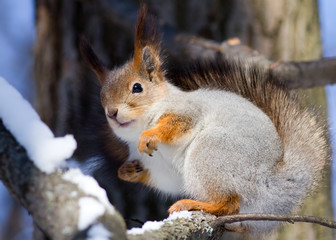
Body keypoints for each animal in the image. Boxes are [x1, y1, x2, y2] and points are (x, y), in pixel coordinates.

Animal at [80, 5, 330, 236]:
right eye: (102, 96)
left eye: (137, 88)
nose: (112, 112)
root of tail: (274, 182)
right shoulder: (161, 169)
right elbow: (161, 178)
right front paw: (127, 170)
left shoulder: (188, 110)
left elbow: (177, 123)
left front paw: (150, 135)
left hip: (211, 152)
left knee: (229, 203)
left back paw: (194, 204)